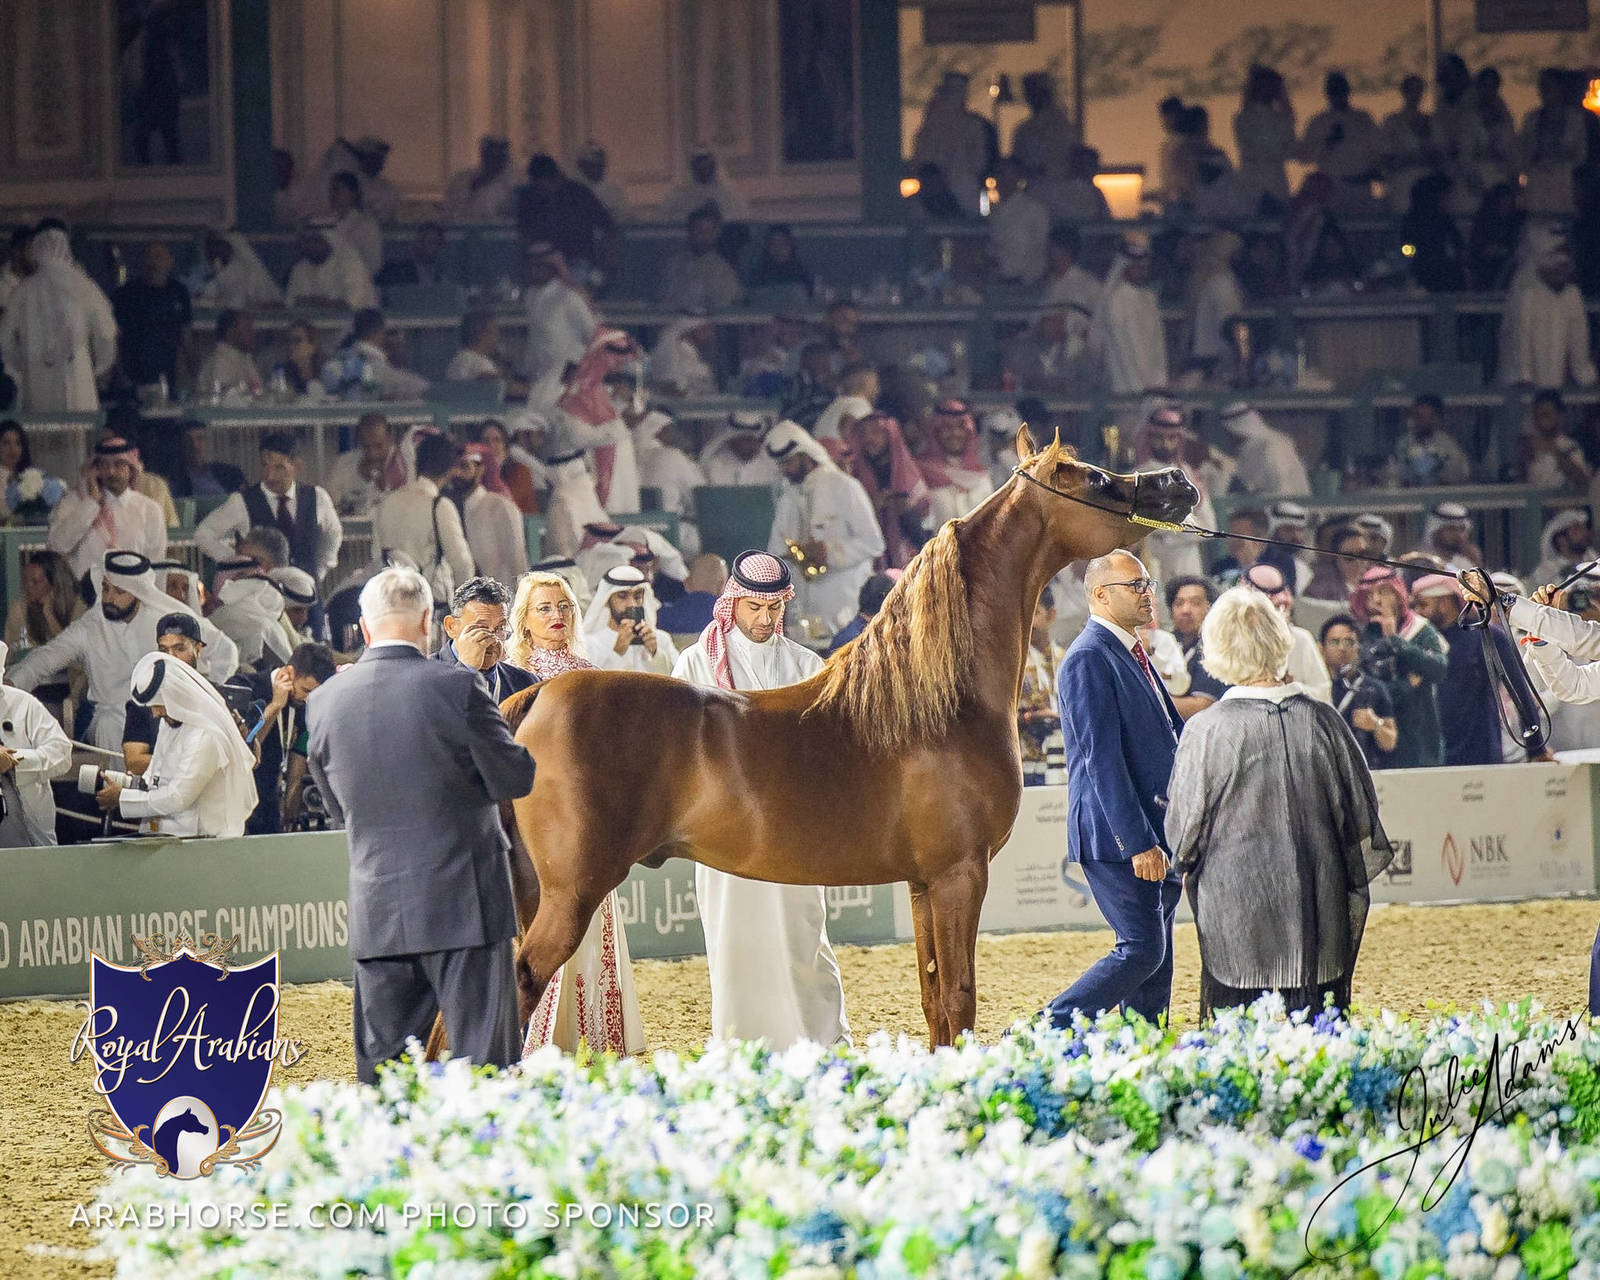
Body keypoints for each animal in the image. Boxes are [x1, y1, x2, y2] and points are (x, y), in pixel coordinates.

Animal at [493, 430, 1197, 1049]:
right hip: (571, 895)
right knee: (518, 982)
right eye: (1096, 478)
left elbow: (934, 1000)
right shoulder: (959, 875)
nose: (1179, 483)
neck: (940, 701)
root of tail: (536, 697)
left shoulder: (922, 883)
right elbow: (959, 997)